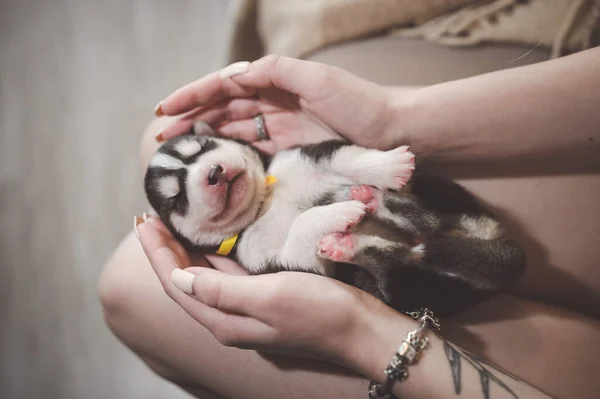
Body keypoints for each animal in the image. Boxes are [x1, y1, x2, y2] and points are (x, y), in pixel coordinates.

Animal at [145, 125, 524, 316]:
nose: (214, 173)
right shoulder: (281, 263)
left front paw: (388, 166)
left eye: (202, 146)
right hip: (412, 290)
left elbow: (349, 158)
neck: (264, 200)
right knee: (395, 259)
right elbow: (301, 232)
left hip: (439, 191)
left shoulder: (315, 151)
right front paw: (336, 214)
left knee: (426, 218)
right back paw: (353, 233)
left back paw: (376, 198)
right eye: (176, 197)